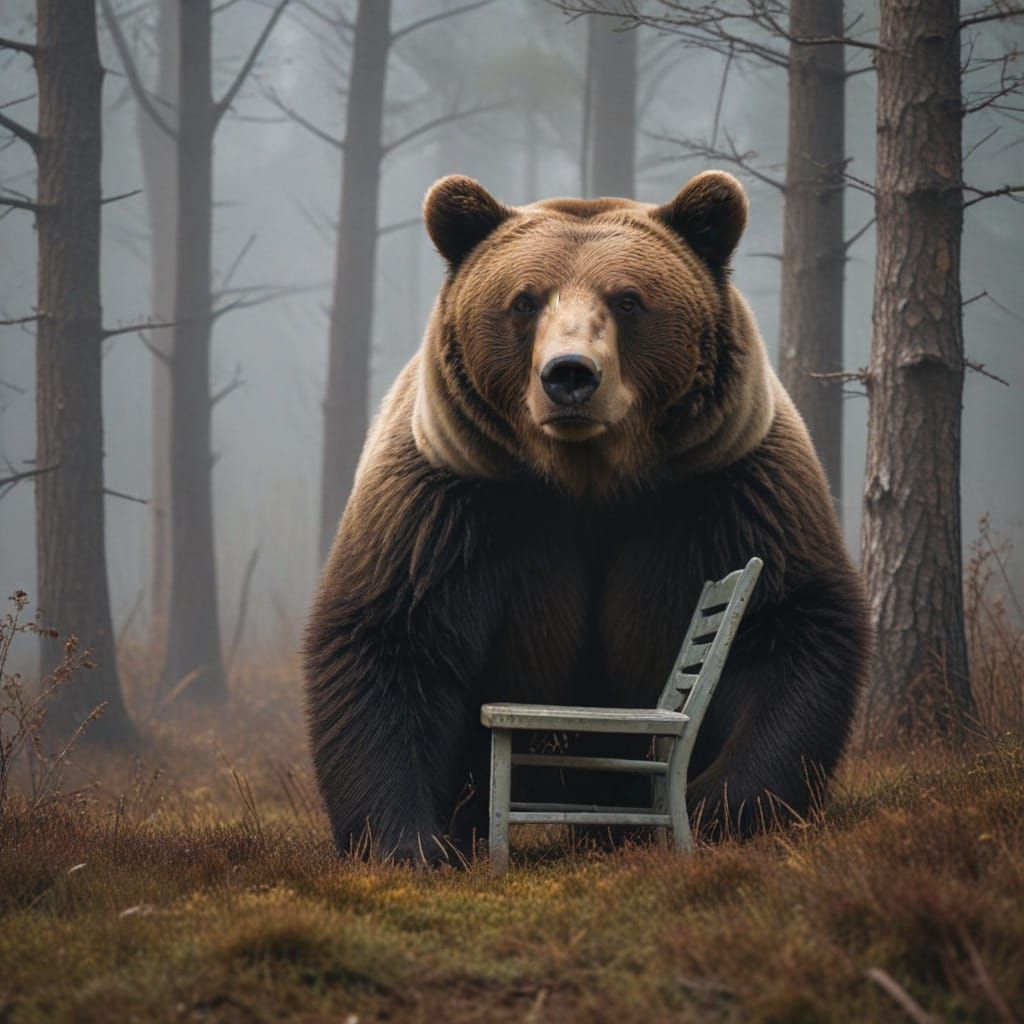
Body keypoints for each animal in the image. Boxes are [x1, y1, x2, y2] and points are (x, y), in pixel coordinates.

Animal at [303, 170, 870, 862]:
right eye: (524, 301)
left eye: (628, 299)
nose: (569, 374)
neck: (587, 478)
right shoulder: (447, 501)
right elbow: (395, 637)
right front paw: (411, 840)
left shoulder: (728, 488)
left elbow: (782, 625)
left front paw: (721, 804)